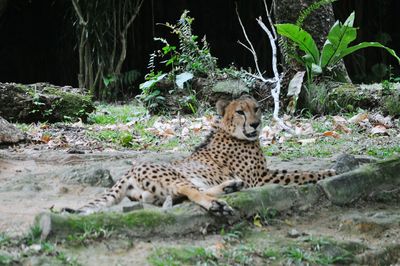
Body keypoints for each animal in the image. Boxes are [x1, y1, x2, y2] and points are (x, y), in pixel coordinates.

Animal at [64, 95, 336, 216]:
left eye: (257, 108)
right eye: (240, 111)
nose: (256, 124)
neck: (232, 132)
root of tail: (130, 170)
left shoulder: (259, 176)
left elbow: (297, 173)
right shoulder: (261, 177)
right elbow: (299, 174)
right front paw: (329, 172)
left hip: (159, 190)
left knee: (180, 195)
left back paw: (230, 187)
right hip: (173, 175)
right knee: (190, 192)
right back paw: (217, 203)